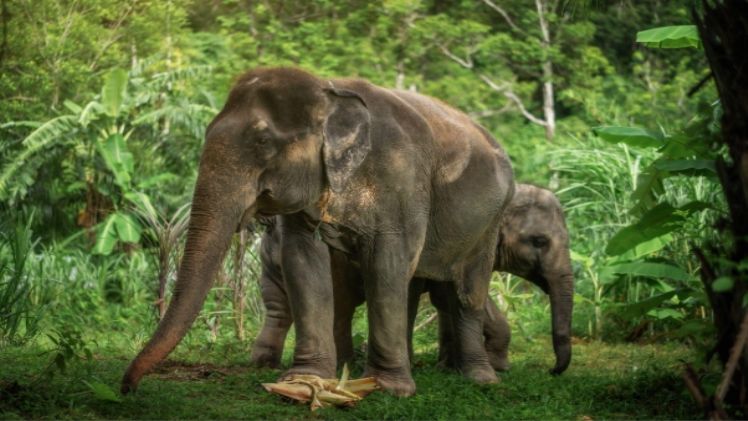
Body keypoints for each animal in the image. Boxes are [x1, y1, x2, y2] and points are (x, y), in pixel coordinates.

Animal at [121, 67, 515, 397]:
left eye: (262, 142)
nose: (128, 388)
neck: (329, 90)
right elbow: (303, 259)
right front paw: (303, 382)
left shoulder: (401, 178)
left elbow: (386, 261)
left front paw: (387, 389)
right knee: (419, 287)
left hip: (491, 220)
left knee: (467, 292)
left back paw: (480, 379)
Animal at [250, 183, 573, 375]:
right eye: (539, 241)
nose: (552, 371)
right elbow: (442, 295)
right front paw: (498, 365)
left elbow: (447, 300)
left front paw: (449, 366)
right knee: (339, 305)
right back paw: (346, 367)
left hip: (272, 261)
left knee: (279, 308)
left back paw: (265, 364)